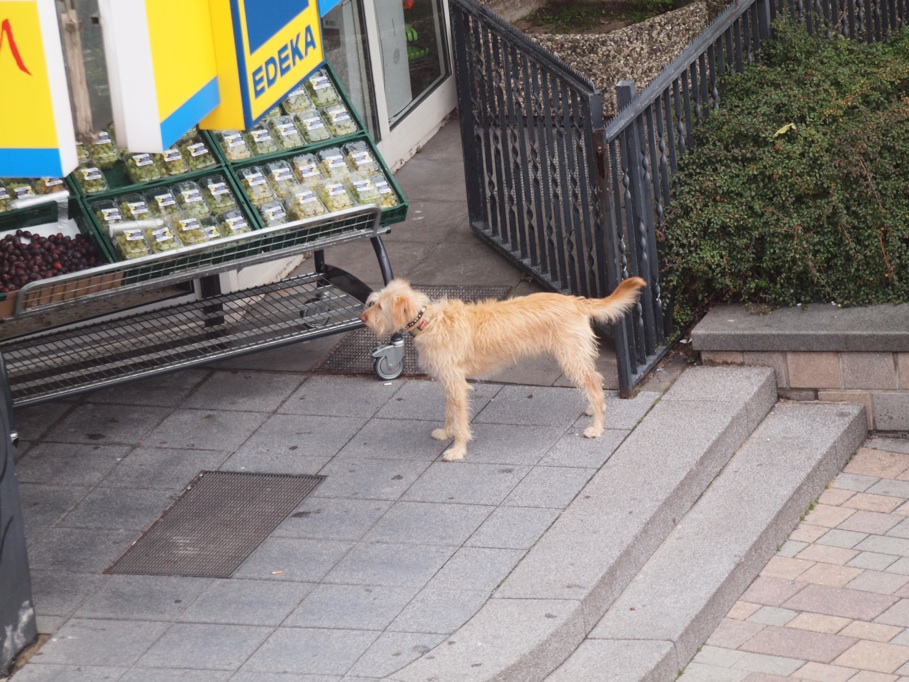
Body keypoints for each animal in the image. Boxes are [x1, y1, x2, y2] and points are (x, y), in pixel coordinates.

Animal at [358, 276, 648, 462]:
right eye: (372, 302)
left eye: (379, 306)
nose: (362, 318)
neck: (429, 321)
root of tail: (576, 301)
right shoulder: (448, 381)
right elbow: (450, 411)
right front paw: (446, 432)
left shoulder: (456, 383)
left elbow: (460, 417)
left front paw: (457, 449)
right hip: (575, 357)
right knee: (594, 380)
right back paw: (591, 409)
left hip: (570, 358)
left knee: (595, 385)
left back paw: (597, 427)